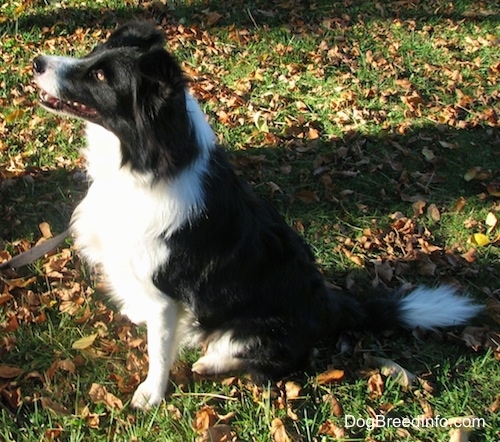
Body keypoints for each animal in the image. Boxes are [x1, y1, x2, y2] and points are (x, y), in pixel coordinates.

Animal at [32, 20, 480, 408]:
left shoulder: (167, 295)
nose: (36, 62)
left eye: (101, 77)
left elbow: (159, 351)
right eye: (94, 53)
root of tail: (331, 308)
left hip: (259, 330)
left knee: (266, 363)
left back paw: (210, 361)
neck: (145, 160)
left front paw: (151, 395)